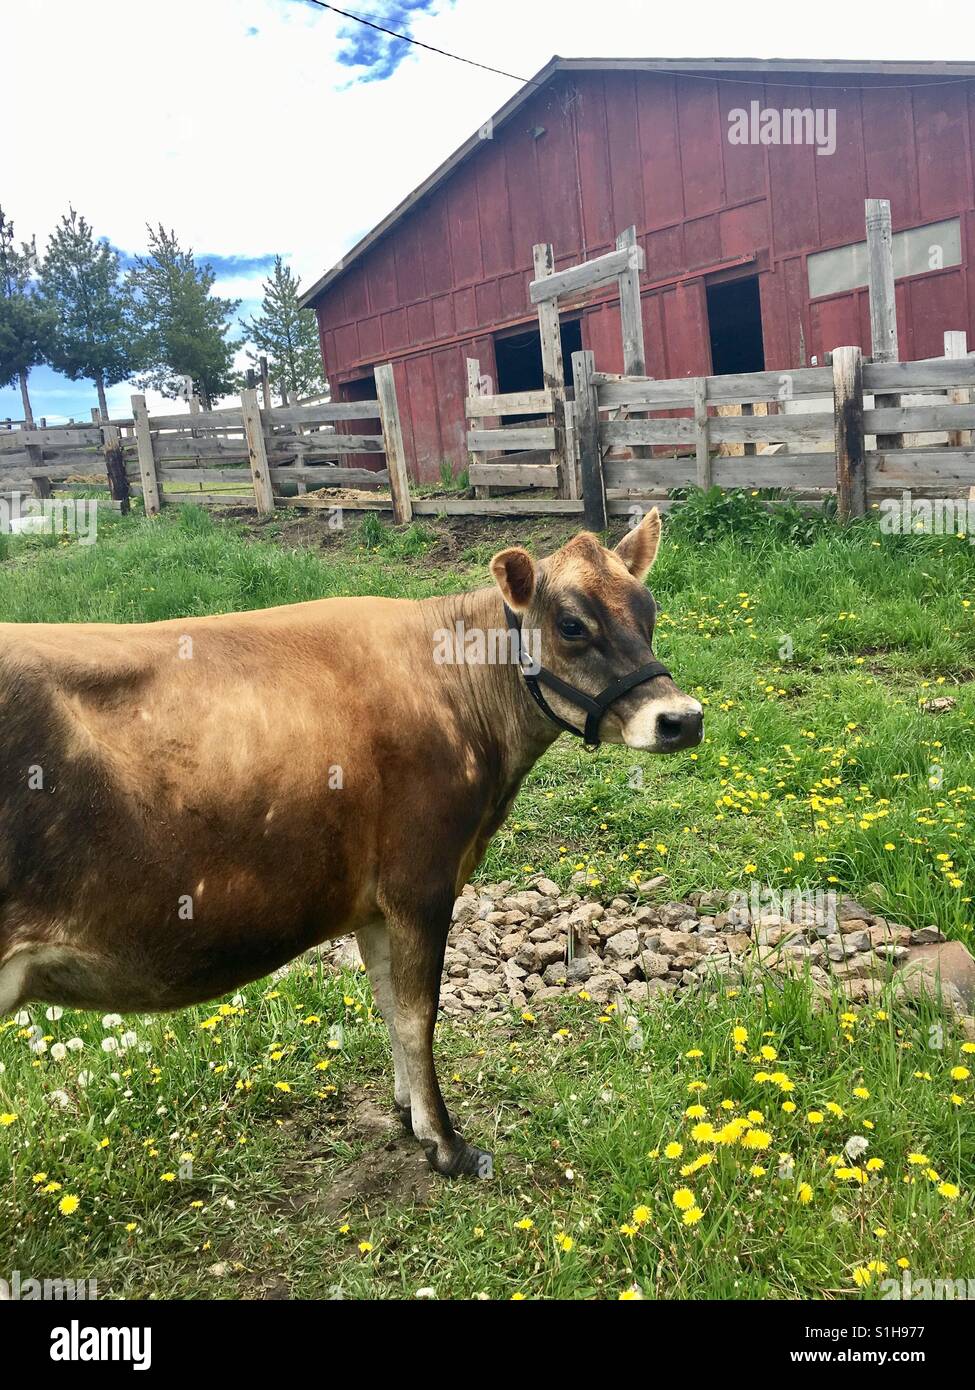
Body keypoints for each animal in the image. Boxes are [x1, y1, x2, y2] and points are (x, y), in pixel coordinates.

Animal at [0, 511, 700, 1173]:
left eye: (649, 611)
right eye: (572, 625)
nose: (682, 719)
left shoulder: (375, 901)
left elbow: (389, 1003)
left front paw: (408, 1111)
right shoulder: (421, 882)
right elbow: (419, 1013)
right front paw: (446, 1144)